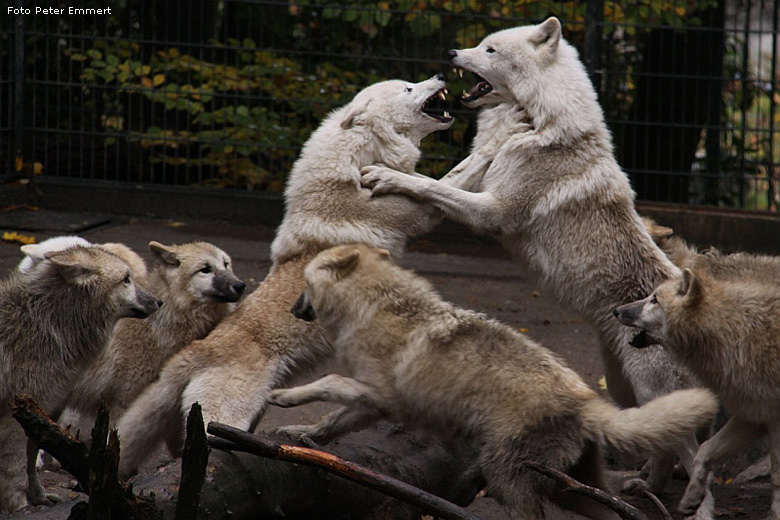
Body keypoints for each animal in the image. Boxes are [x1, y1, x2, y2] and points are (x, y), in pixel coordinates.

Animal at [0, 245, 159, 512]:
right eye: (126, 280)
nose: (159, 301)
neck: (48, 325)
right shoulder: (13, 418)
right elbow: (16, 468)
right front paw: (19, 507)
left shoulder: (38, 410)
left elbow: (31, 459)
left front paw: (39, 498)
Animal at [268, 244, 720, 520]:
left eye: (303, 284)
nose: (291, 309)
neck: (373, 306)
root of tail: (588, 404)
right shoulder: (372, 405)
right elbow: (330, 422)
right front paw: (300, 435)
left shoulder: (380, 396)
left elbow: (328, 380)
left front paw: (283, 396)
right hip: (571, 490)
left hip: (507, 480)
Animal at [612, 253, 780, 520]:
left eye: (655, 299)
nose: (616, 310)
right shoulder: (755, 416)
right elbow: (704, 450)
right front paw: (692, 498)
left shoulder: (773, 420)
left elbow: (776, 478)